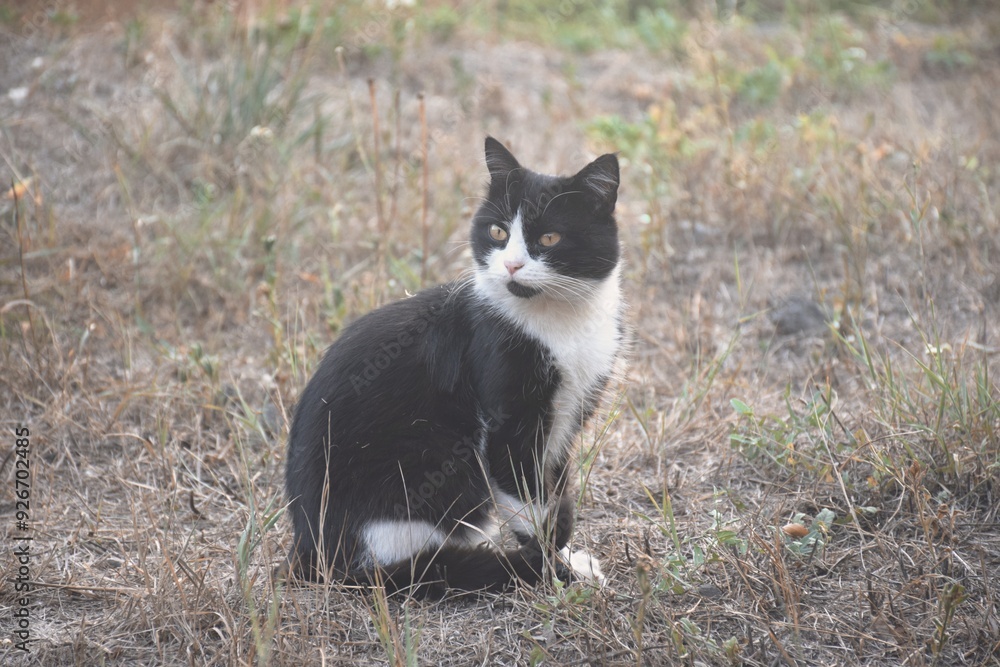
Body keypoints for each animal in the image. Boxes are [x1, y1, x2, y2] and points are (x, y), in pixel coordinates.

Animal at [284, 136, 624, 596]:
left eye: (550, 238)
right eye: (498, 232)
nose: (511, 265)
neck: (558, 323)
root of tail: (313, 552)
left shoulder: (569, 414)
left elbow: (553, 486)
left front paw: (565, 560)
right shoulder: (506, 416)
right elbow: (528, 503)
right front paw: (552, 569)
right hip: (425, 461)